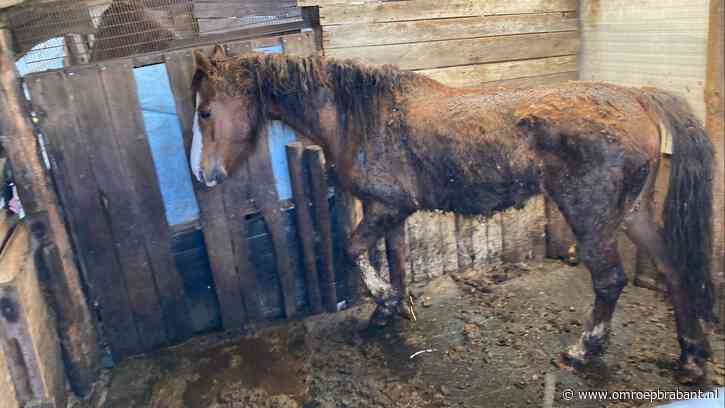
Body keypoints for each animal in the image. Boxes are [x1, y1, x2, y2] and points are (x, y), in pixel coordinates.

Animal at [189, 45, 715, 384]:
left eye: (205, 112)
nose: (203, 175)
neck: (360, 115)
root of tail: (638, 95)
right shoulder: (391, 212)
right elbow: (396, 259)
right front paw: (390, 309)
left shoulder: (387, 207)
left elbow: (353, 248)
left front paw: (382, 303)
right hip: (633, 212)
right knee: (672, 269)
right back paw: (691, 355)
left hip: (592, 217)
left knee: (609, 280)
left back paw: (583, 351)